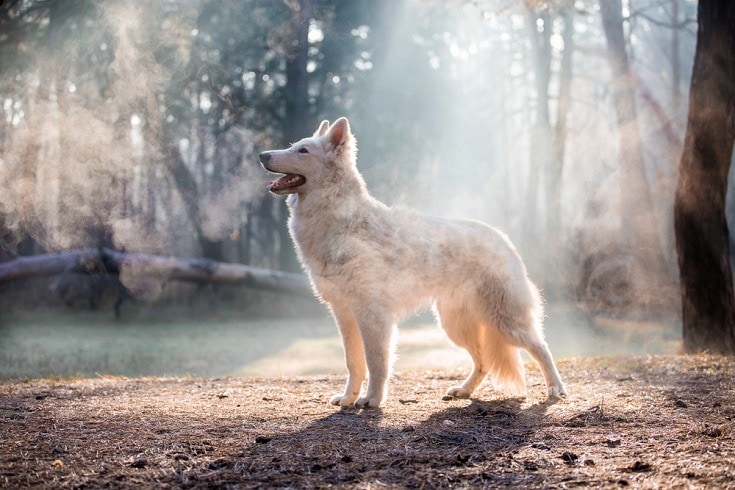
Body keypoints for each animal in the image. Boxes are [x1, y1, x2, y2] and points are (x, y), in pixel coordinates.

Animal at [260, 117, 568, 408]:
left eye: (303, 151)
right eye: (294, 146)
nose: (262, 155)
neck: (342, 221)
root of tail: (504, 240)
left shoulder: (373, 316)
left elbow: (376, 362)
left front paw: (372, 400)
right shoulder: (345, 314)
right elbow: (353, 363)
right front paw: (348, 398)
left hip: (504, 321)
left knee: (541, 347)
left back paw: (556, 389)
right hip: (456, 325)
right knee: (483, 362)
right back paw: (464, 391)